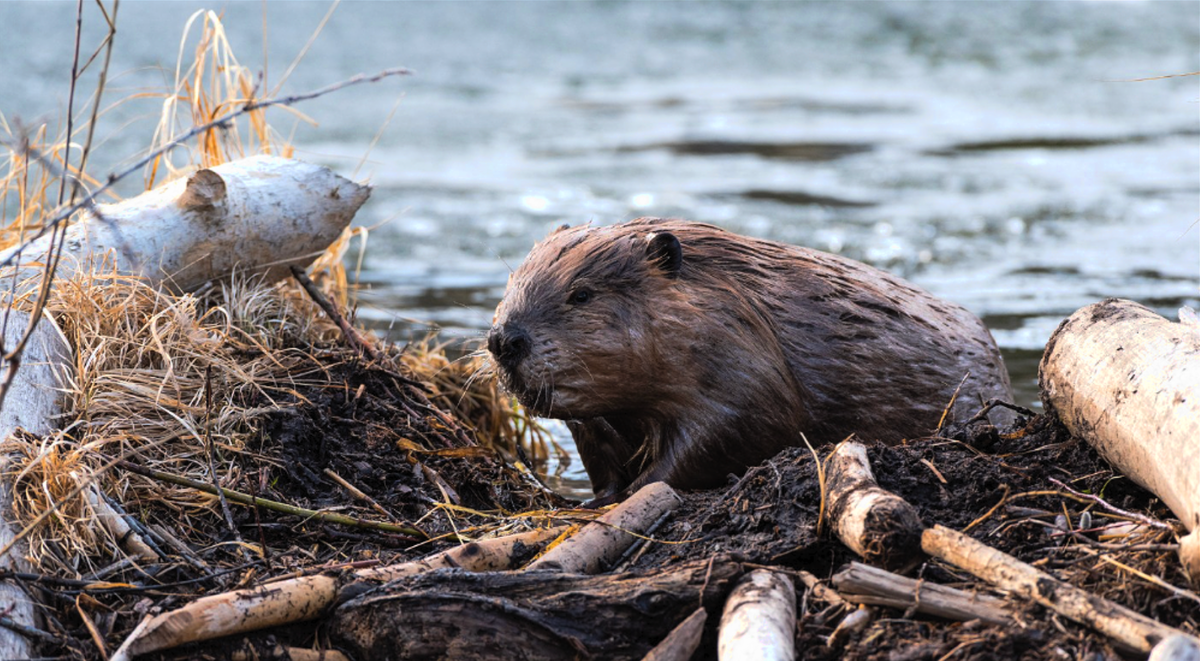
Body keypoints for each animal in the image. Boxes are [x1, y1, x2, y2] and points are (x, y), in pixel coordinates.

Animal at [487, 218, 1012, 506]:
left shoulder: (744, 371)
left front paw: (637, 490)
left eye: (581, 293)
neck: (736, 301)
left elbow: (724, 435)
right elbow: (598, 450)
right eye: (512, 281)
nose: (503, 340)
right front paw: (599, 497)